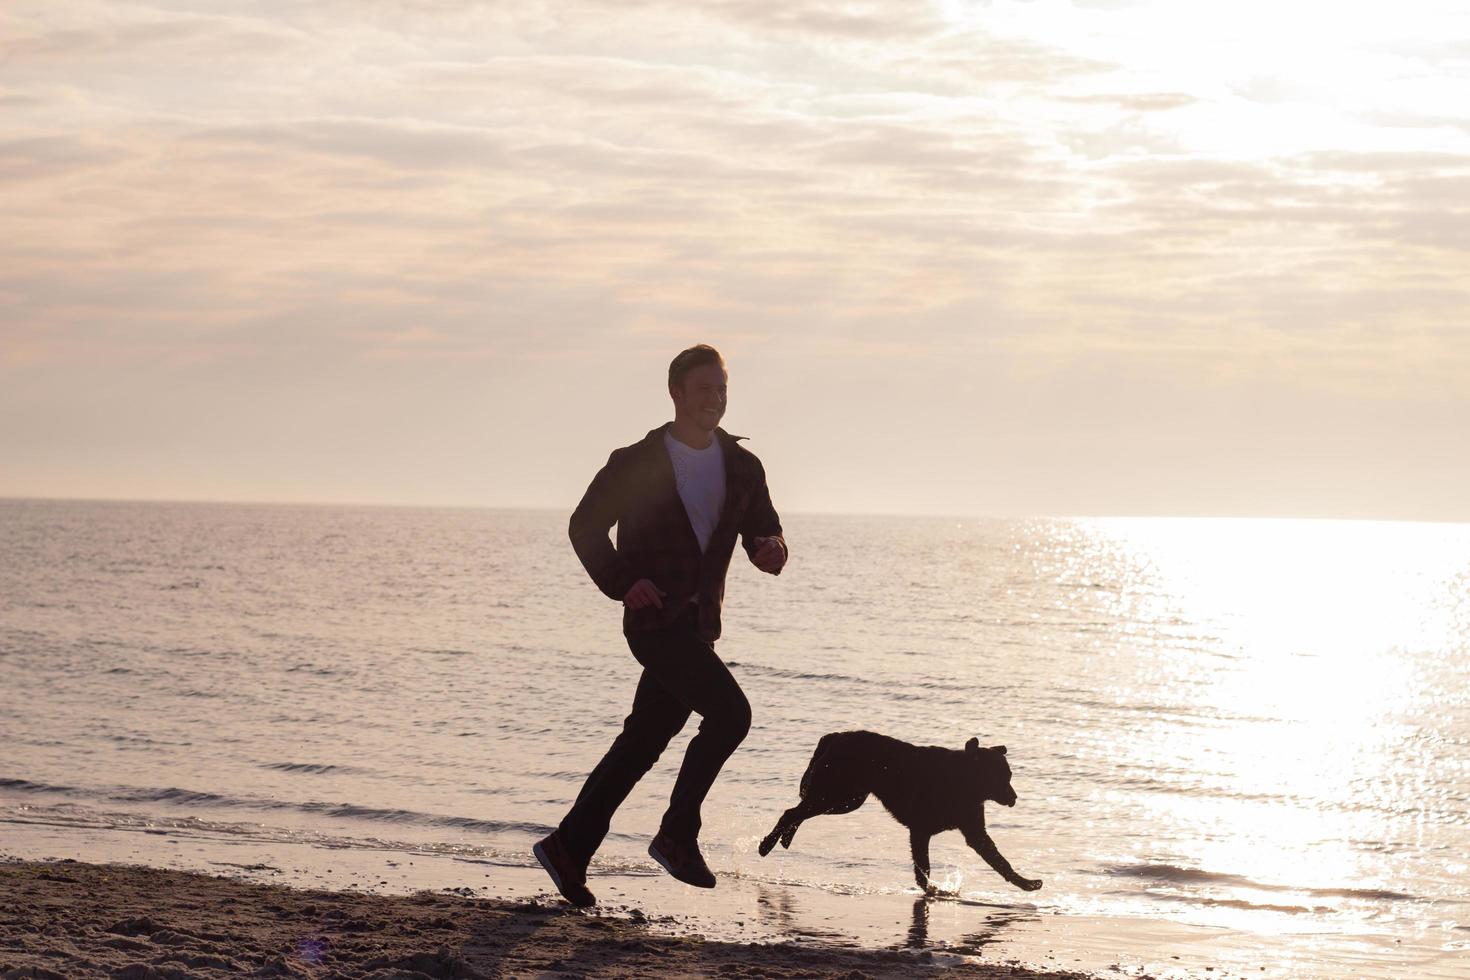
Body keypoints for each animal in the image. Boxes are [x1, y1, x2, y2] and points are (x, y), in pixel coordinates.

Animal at [764, 728, 1040, 899]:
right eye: (999, 776)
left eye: (1009, 776)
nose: (1014, 798)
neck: (961, 781)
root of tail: (835, 737)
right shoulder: (920, 831)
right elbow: (923, 869)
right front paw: (932, 891)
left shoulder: (973, 832)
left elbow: (1000, 862)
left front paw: (1025, 883)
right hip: (836, 795)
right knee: (791, 812)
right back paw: (767, 844)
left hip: (846, 799)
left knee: (797, 812)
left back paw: (784, 839)